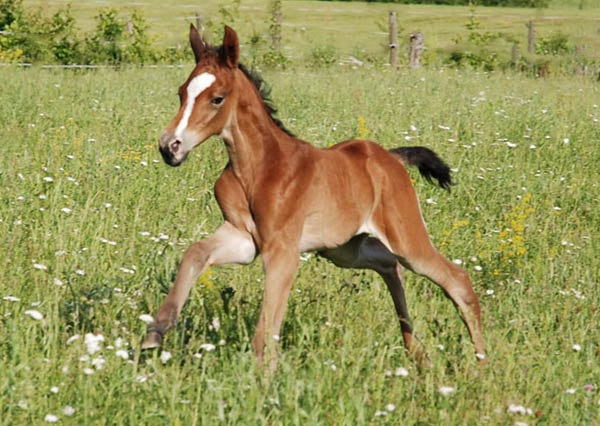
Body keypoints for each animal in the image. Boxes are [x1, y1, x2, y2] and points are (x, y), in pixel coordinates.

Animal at [143, 25, 486, 366]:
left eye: (217, 98)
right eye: (181, 92)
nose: (169, 146)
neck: (257, 167)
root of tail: (391, 158)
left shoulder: (283, 250)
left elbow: (266, 332)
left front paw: (263, 378)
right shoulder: (243, 239)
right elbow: (195, 253)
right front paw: (156, 331)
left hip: (406, 239)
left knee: (456, 279)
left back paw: (480, 363)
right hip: (347, 250)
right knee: (391, 267)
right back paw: (417, 353)